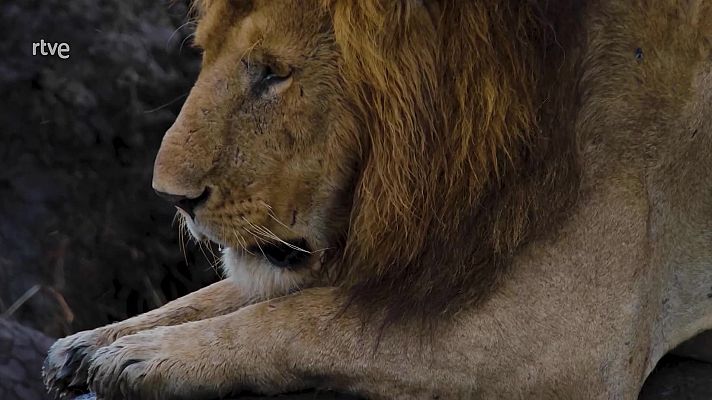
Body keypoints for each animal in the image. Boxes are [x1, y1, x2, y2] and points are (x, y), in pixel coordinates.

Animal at [43, 0, 712, 399]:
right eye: (203, 53)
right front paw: (94, 342)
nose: (173, 197)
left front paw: (145, 358)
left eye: (273, 71)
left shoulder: (576, 336)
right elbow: (234, 293)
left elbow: (315, 320)